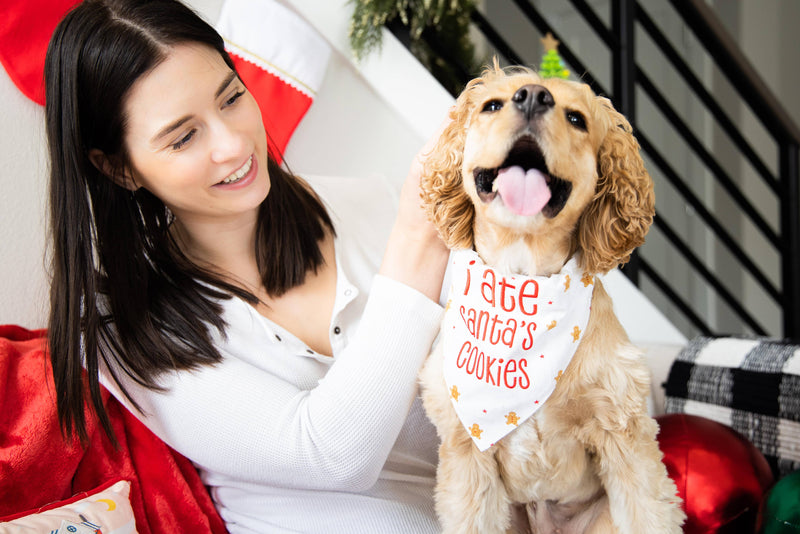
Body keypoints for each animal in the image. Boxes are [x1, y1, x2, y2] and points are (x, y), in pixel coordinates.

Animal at [416, 63, 684, 534]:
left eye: (576, 118)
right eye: (492, 106)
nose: (532, 97)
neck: (523, 277)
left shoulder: (625, 434)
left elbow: (648, 512)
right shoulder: (466, 454)